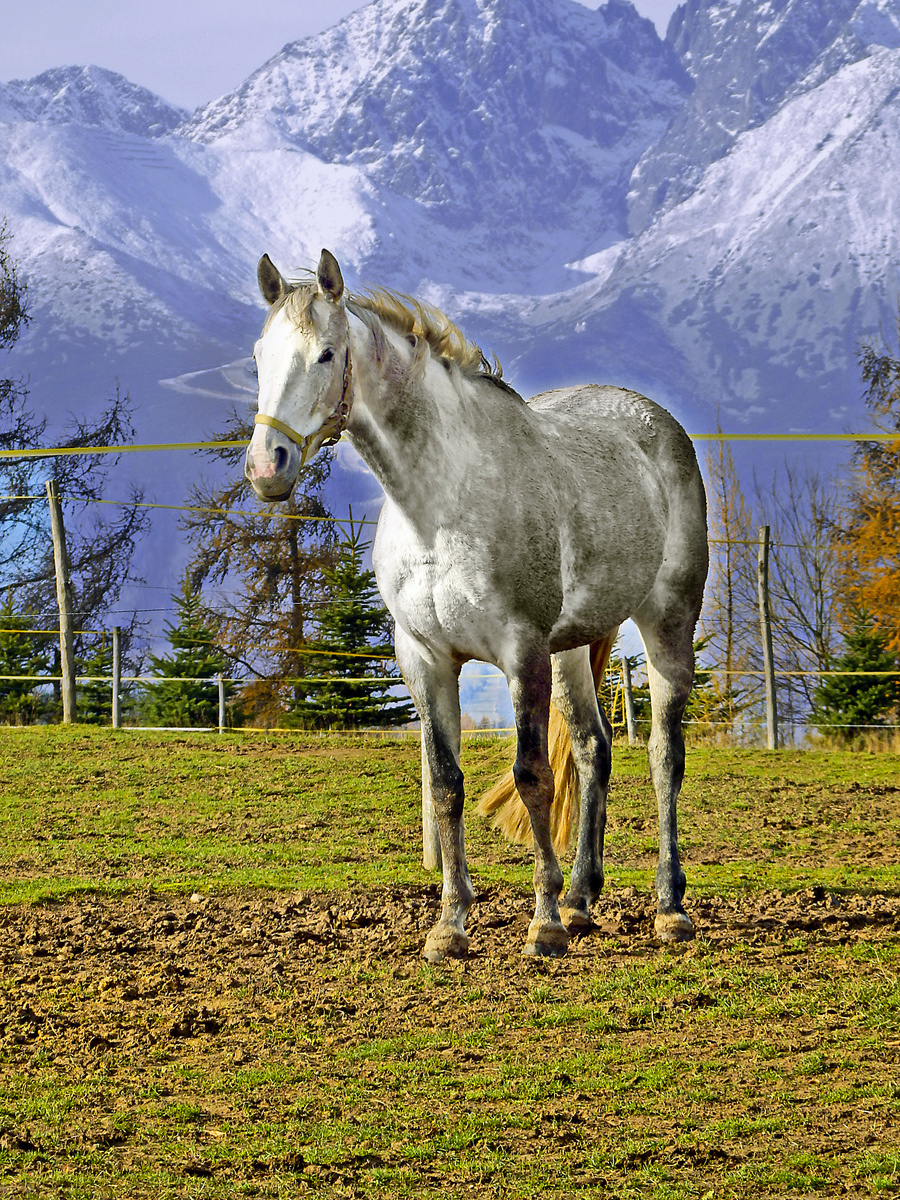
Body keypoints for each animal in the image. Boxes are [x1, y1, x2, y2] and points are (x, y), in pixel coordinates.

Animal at [247, 248, 710, 960]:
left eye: (326, 354)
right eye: (259, 356)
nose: (267, 467)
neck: (441, 505)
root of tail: (658, 426)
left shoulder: (522, 653)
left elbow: (532, 777)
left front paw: (542, 924)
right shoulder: (427, 659)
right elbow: (445, 784)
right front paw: (451, 925)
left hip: (667, 626)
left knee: (664, 756)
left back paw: (667, 907)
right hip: (573, 649)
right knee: (593, 751)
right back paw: (582, 901)